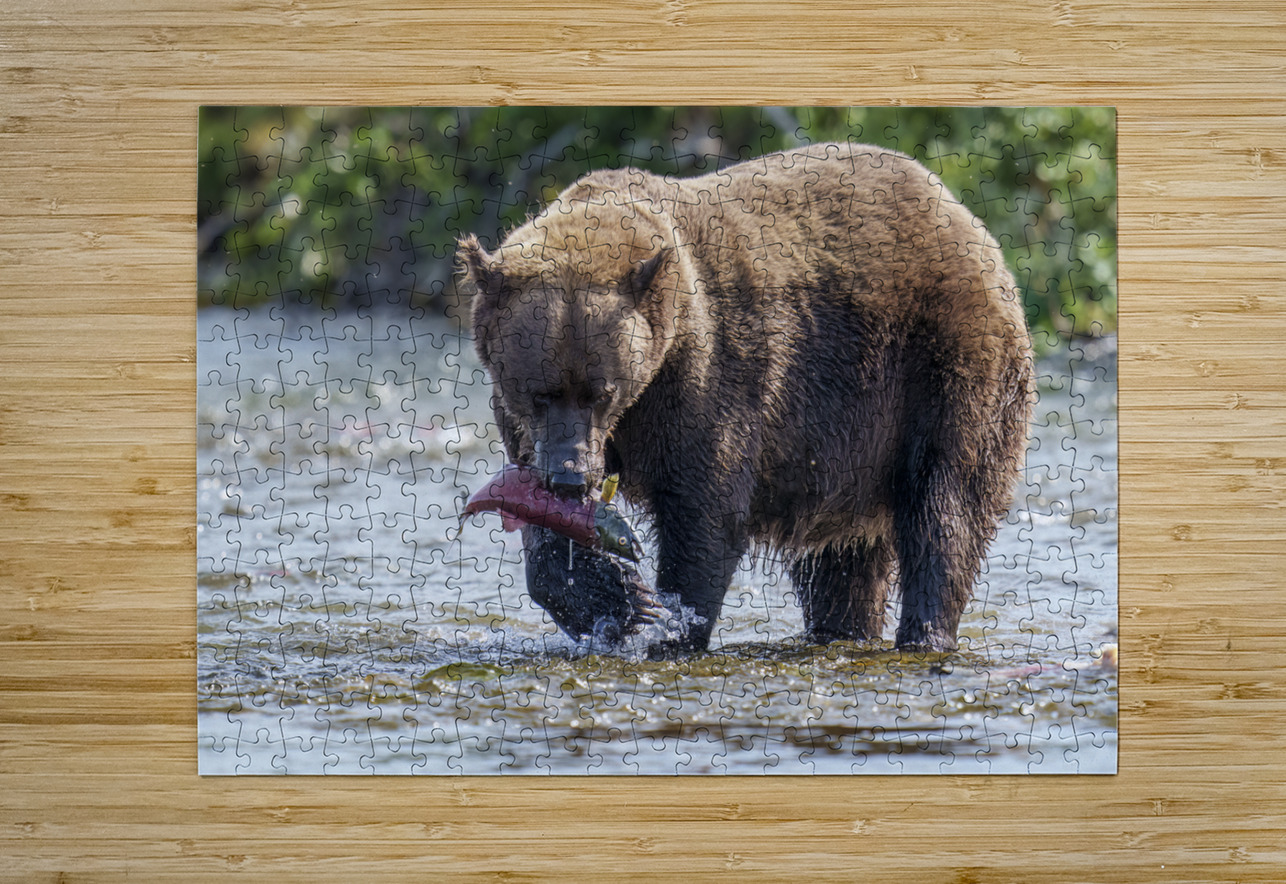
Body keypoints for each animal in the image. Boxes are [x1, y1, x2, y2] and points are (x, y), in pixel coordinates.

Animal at [459, 142, 1034, 653]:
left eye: (601, 392)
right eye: (539, 392)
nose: (571, 477)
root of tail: (966, 219)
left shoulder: (708, 376)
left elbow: (705, 509)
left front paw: (669, 621)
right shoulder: (530, 430)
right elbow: (545, 527)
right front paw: (620, 604)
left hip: (944, 368)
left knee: (946, 508)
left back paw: (926, 633)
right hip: (850, 442)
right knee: (842, 563)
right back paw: (839, 630)